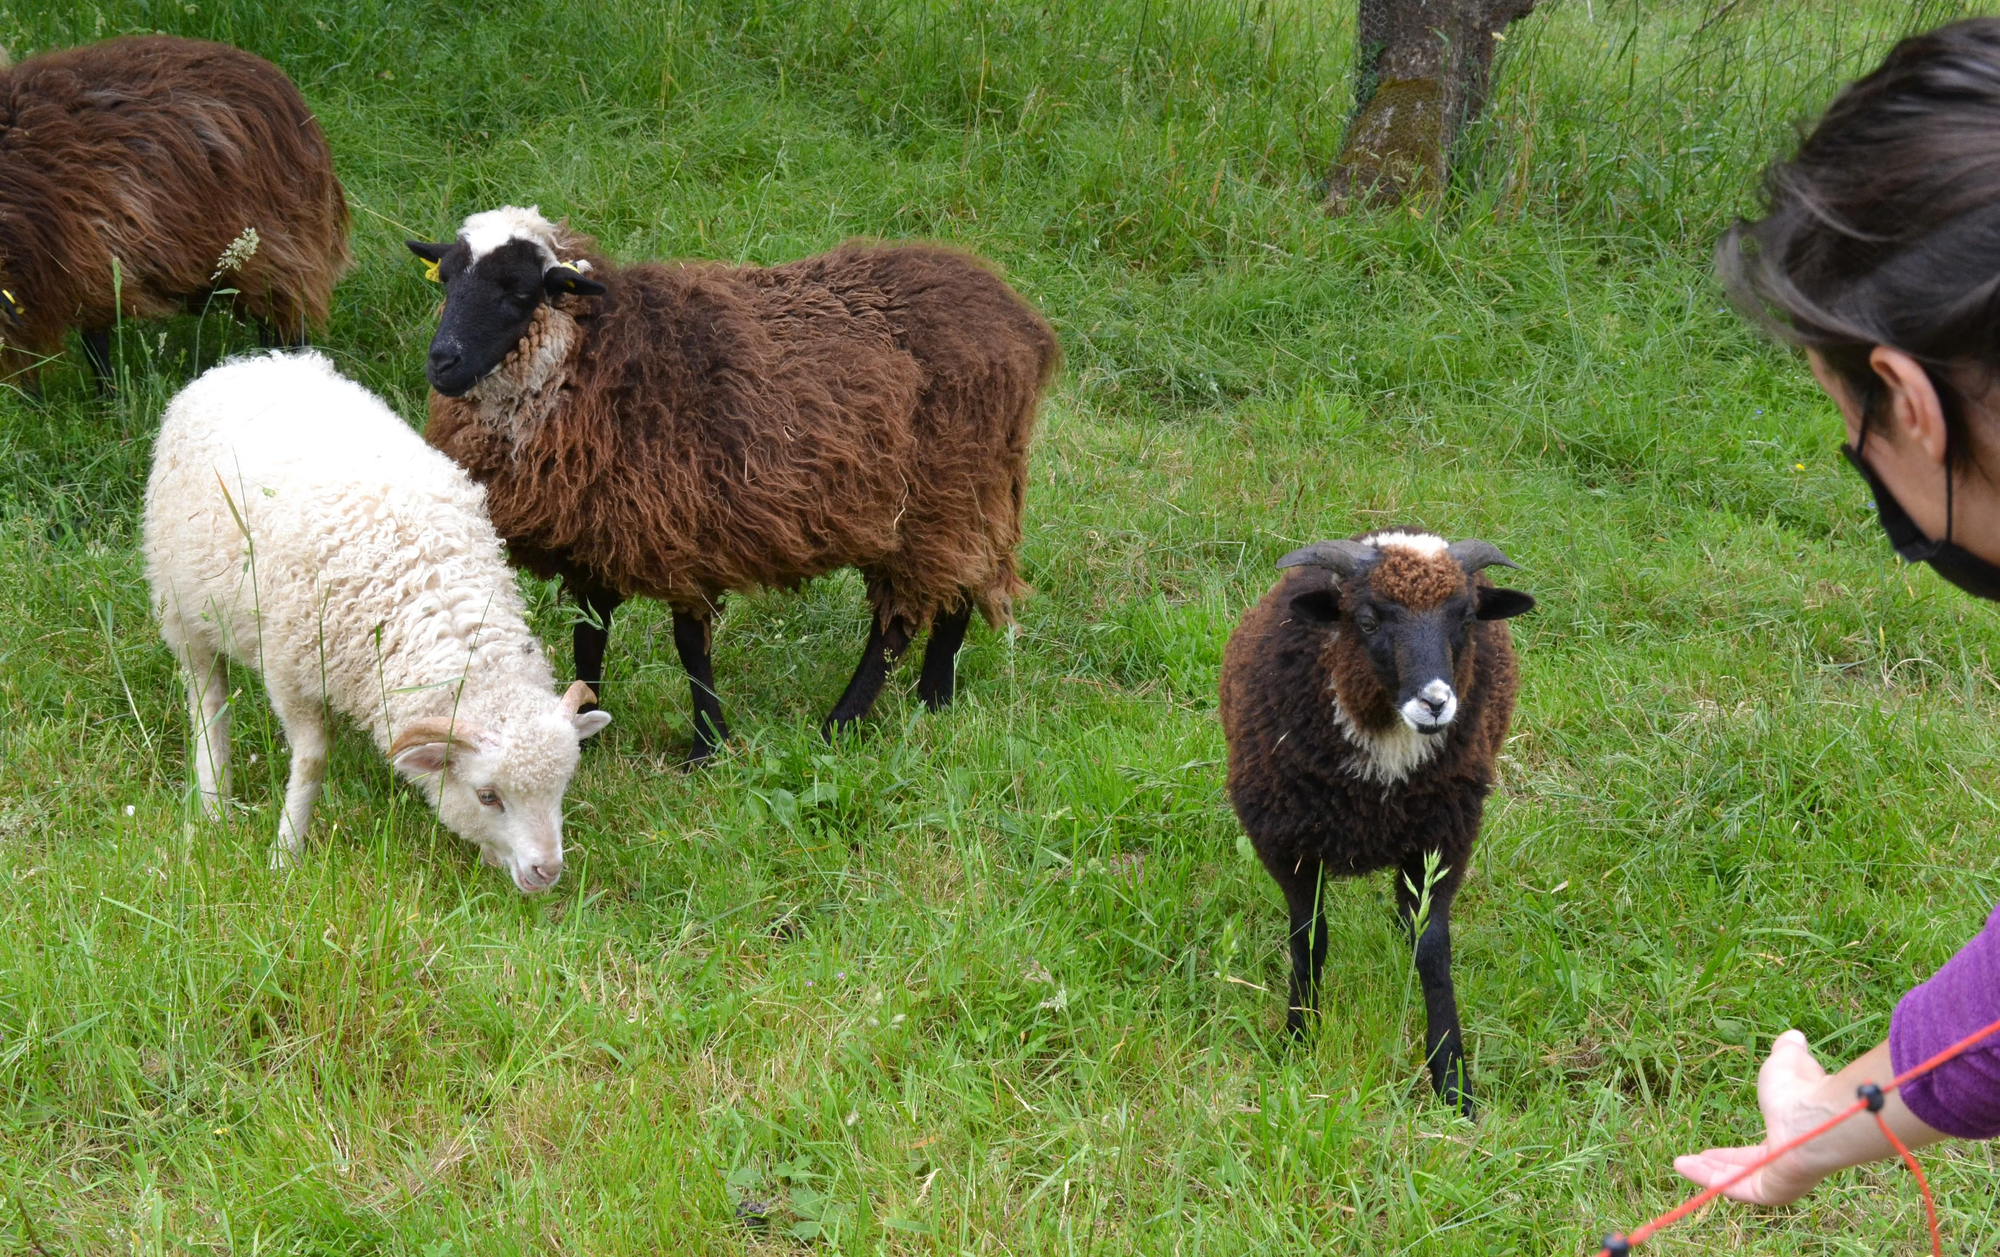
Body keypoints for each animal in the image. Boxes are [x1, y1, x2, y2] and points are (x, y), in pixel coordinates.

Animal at [144, 348, 608, 888]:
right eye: (488, 796)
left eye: (562, 785)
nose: (546, 872)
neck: (426, 585)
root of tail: (246, 363)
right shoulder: (287, 668)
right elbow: (311, 761)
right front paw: (287, 851)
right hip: (182, 604)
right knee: (207, 700)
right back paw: (214, 801)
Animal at [408, 207, 1064, 760]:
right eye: (446, 282)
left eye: (519, 291)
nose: (442, 362)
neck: (597, 359)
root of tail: (1016, 317)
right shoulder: (592, 538)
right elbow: (588, 638)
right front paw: (584, 728)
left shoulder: (682, 529)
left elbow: (689, 646)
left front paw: (708, 748)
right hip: (960, 496)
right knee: (958, 593)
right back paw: (934, 703)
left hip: (938, 493)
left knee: (898, 623)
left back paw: (841, 724)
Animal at [1216, 524, 1528, 1112]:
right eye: (1366, 621)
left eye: (1466, 619)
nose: (1436, 702)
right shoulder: (1287, 845)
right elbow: (1308, 940)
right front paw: (1299, 1039)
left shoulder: (1443, 838)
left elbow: (1432, 947)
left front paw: (1452, 1080)